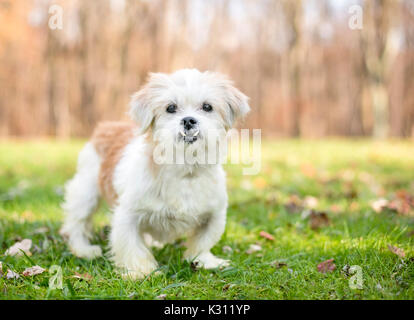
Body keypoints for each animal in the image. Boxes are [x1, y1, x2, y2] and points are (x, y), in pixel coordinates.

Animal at [60, 69, 249, 278]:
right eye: (171, 108)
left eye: (207, 107)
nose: (188, 120)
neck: (185, 169)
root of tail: (107, 126)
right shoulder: (128, 214)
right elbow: (131, 245)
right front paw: (141, 272)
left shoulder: (215, 214)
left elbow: (204, 241)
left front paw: (204, 261)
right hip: (85, 193)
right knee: (76, 222)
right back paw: (83, 249)